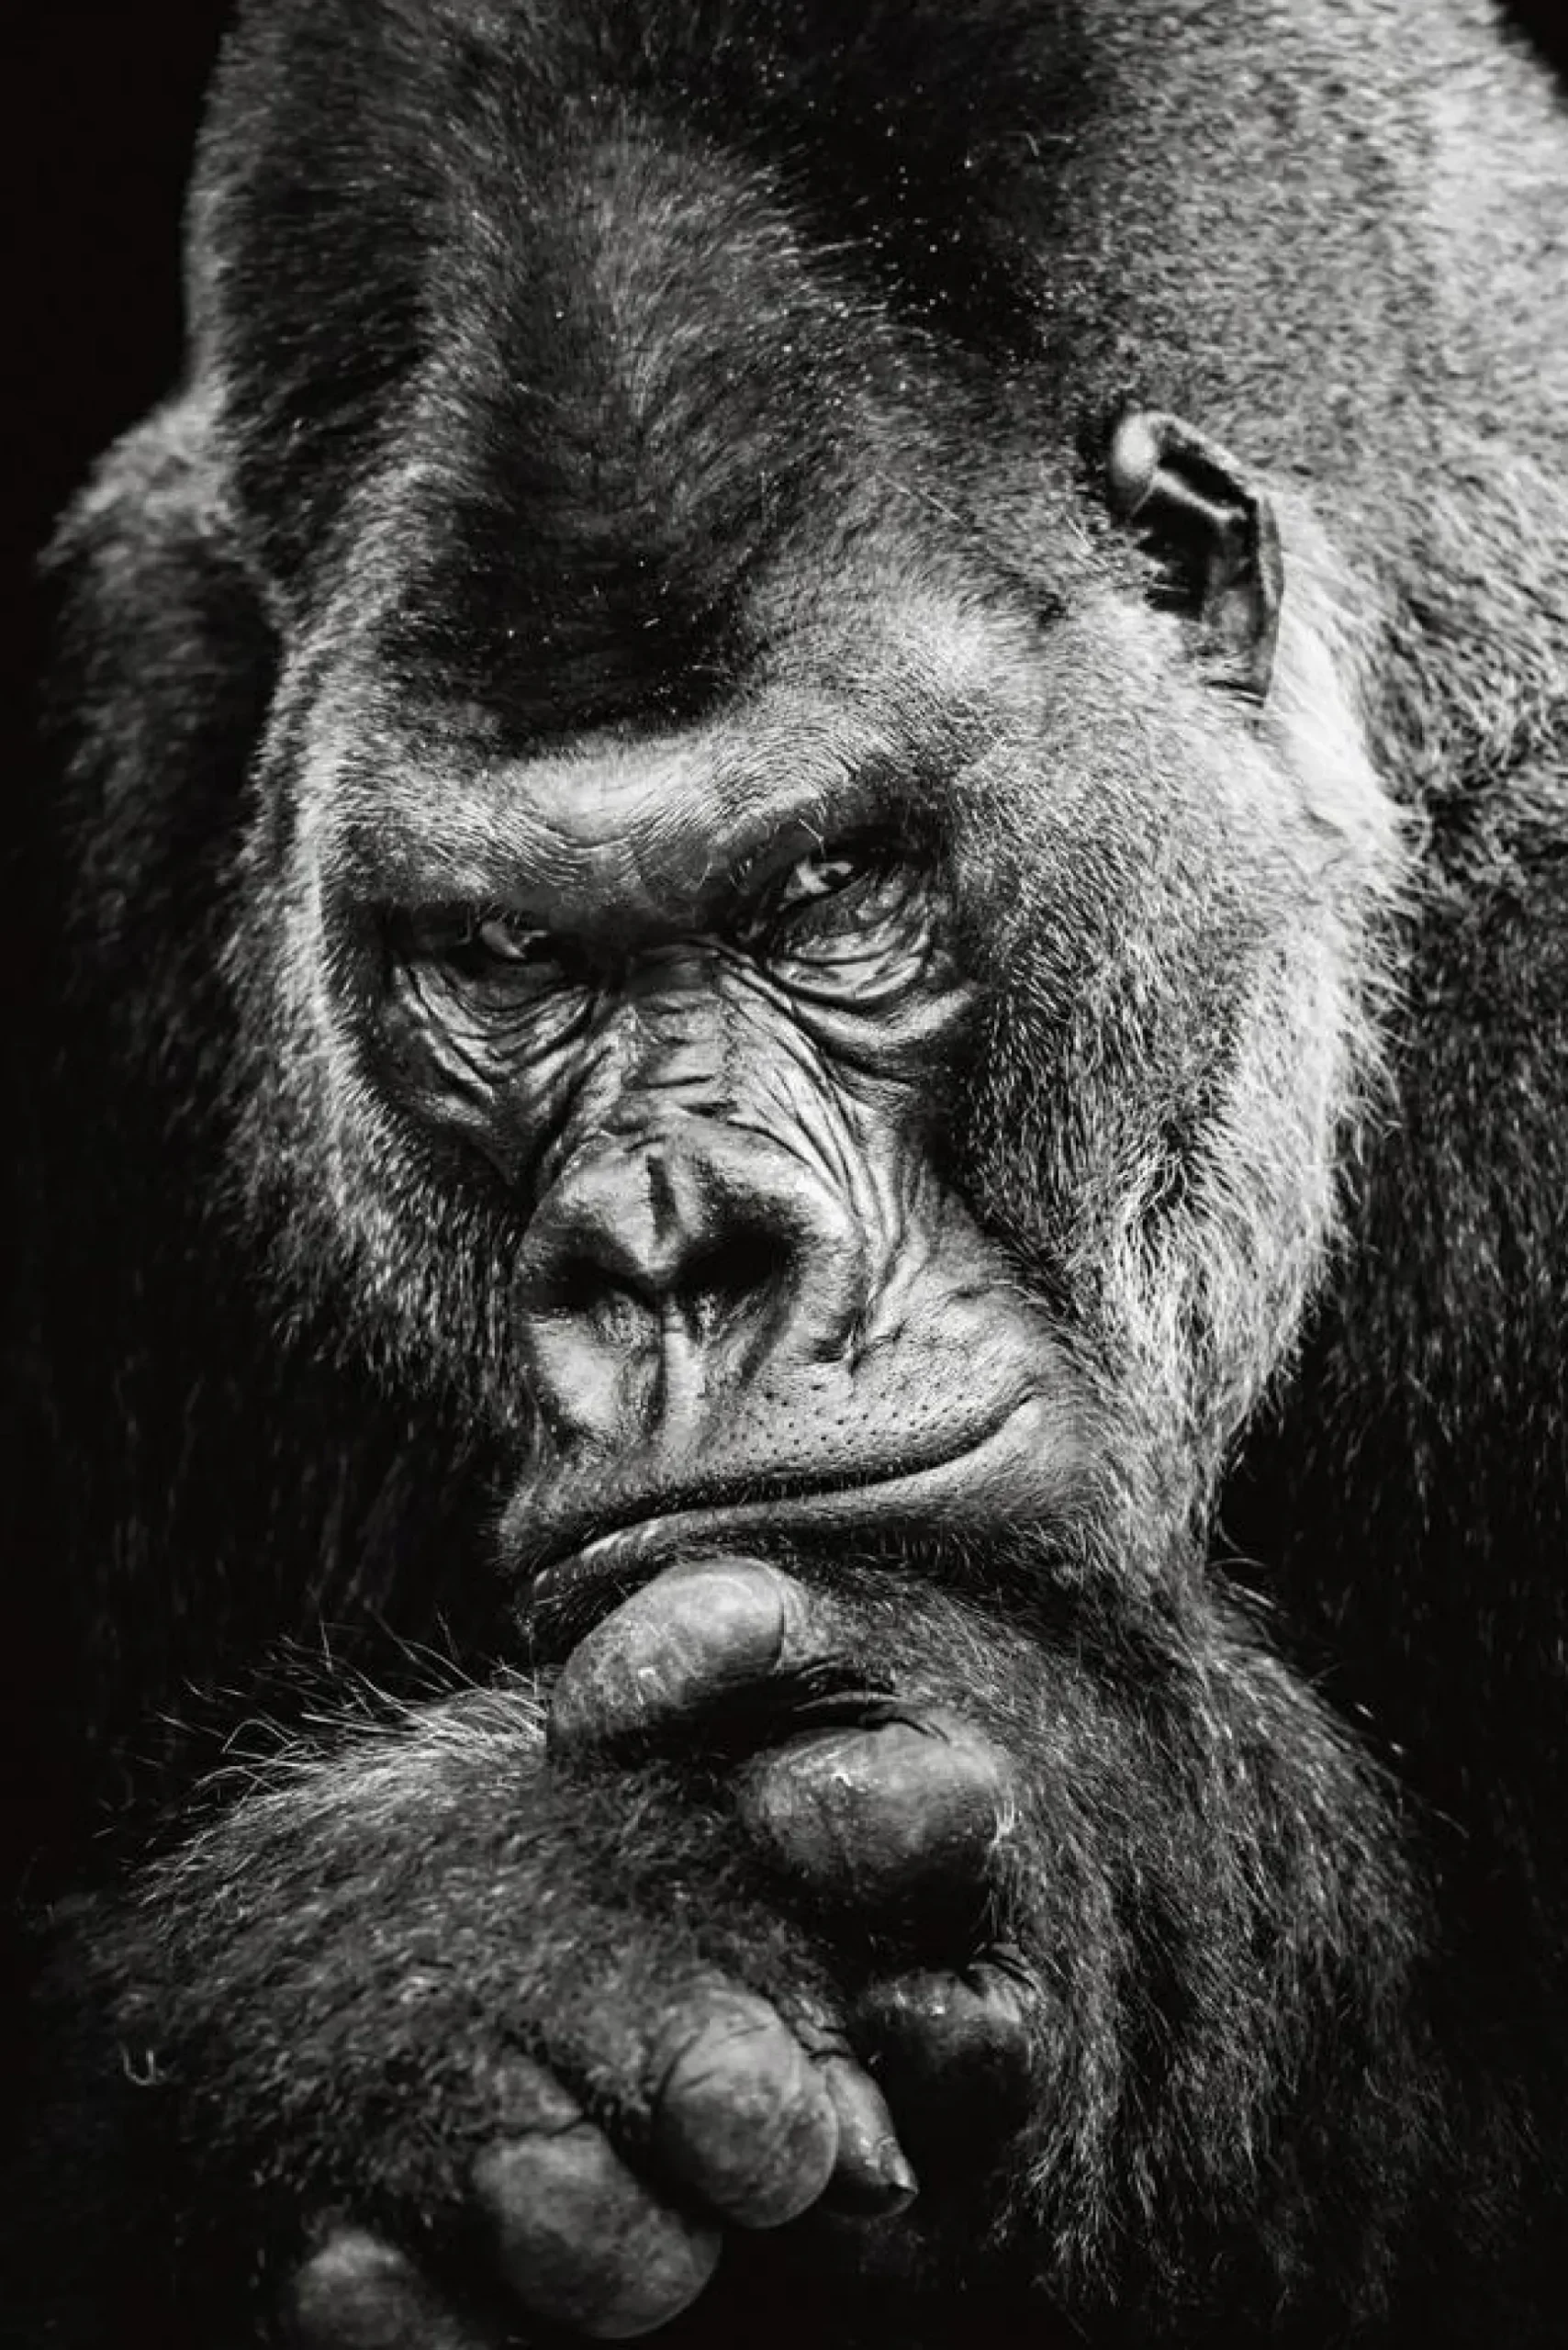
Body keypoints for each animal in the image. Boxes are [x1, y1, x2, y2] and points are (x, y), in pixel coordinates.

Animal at [8, 0, 1568, 2343]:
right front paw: (436, 1971)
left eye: (831, 890)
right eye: (502, 957)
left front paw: (1064, 1805)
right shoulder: (123, 754)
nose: (671, 1245)